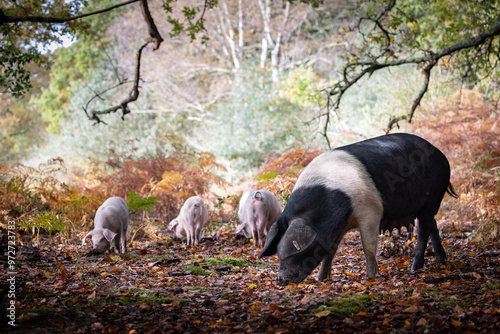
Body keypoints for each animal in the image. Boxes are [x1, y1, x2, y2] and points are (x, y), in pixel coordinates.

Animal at [260, 134, 458, 284]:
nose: (281, 279)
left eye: (296, 251)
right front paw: (321, 279)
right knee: (433, 225)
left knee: (424, 231)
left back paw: (415, 268)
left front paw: (371, 277)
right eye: (279, 254)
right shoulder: (337, 227)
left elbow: (368, 247)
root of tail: (441, 155)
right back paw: (441, 261)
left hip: (432, 198)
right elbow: (330, 251)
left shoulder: (370, 212)